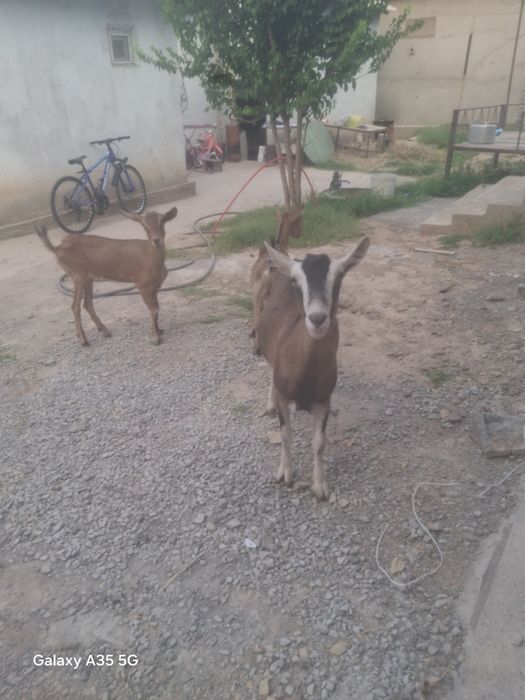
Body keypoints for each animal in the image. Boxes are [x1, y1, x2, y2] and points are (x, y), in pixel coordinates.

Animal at [35, 207, 177, 346]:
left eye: (162, 220)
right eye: (144, 224)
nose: (156, 240)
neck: (150, 258)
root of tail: (57, 248)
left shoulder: (155, 287)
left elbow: (156, 308)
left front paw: (159, 330)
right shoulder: (143, 285)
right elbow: (153, 309)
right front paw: (155, 337)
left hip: (88, 278)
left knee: (87, 304)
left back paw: (104, 330)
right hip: (77, 275)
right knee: (75, 306)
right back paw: (83, 340)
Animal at [251, 235, 369, 500]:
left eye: (340, 276)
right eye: (296, 282)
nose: (317, 319)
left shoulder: (324, 400)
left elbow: (319, 443)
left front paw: (319, 486)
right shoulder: (284, 396)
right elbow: (286, 435)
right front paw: (285, 474)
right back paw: (269, 404)